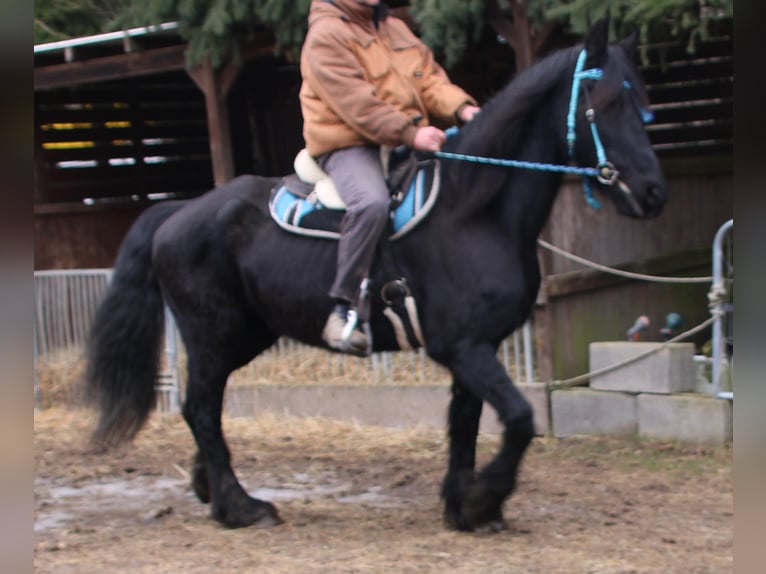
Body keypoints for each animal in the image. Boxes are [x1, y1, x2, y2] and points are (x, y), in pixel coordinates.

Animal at [85, 21, 664, 536]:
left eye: (643, 104)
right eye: (603, 103)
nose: (653, 193)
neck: (471, 209)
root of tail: (177, 213)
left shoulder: (472, 349)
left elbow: (465, 424)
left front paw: (464, 507)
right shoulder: (465, 348)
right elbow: (519, 419)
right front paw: (484, 500)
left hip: (244, 337)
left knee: (202, 409)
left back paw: (209, 486)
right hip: (213, 335)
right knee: (201, 409)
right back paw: (241, 507)